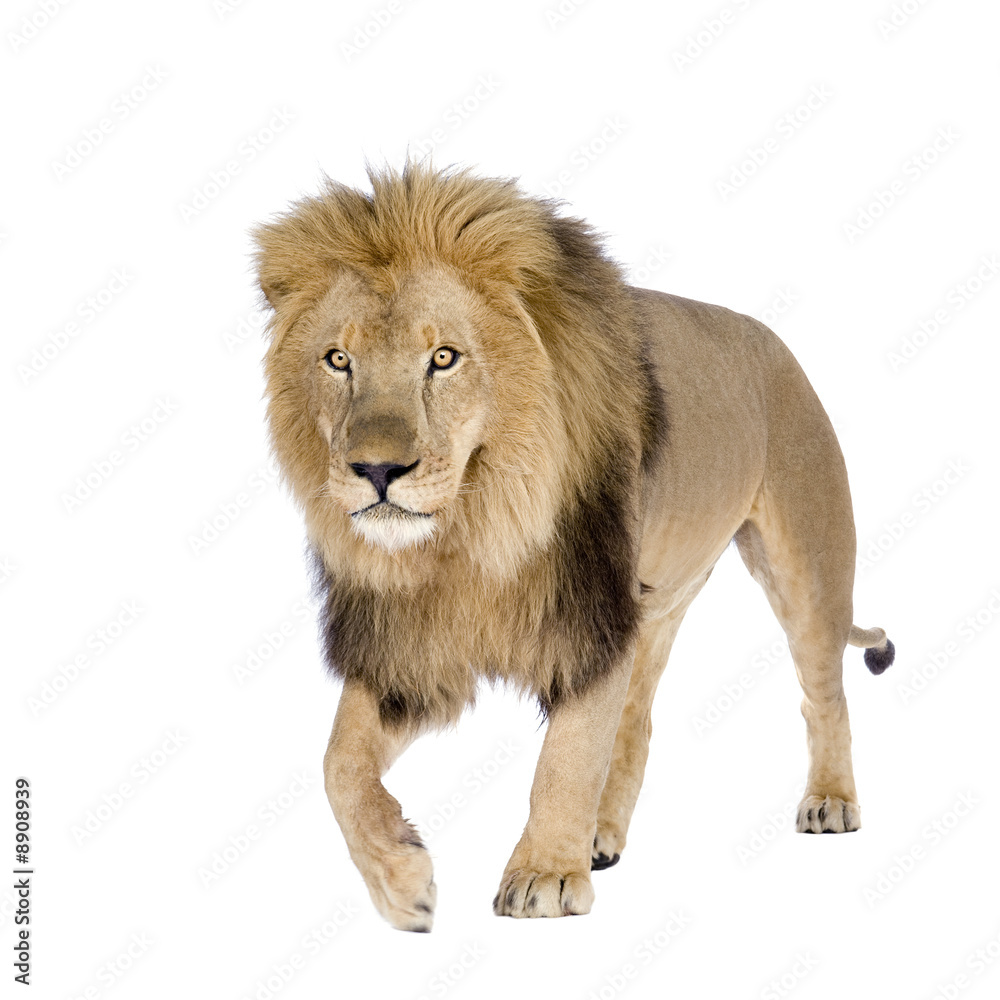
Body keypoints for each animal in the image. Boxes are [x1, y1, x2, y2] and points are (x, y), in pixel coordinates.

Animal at [252, 162, 894, 932]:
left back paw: (830, 799)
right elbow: (338, 763)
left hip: (807, 563)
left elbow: (567, 755)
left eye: (444, 358)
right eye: (338, 360)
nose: (377, 471)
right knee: (638, 724)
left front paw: (543, 878)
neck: (473, 532)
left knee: (824, 693)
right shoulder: (411, 645)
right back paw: (600, 837)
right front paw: (401, 880)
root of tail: (774, 341)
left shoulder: (591, 617)